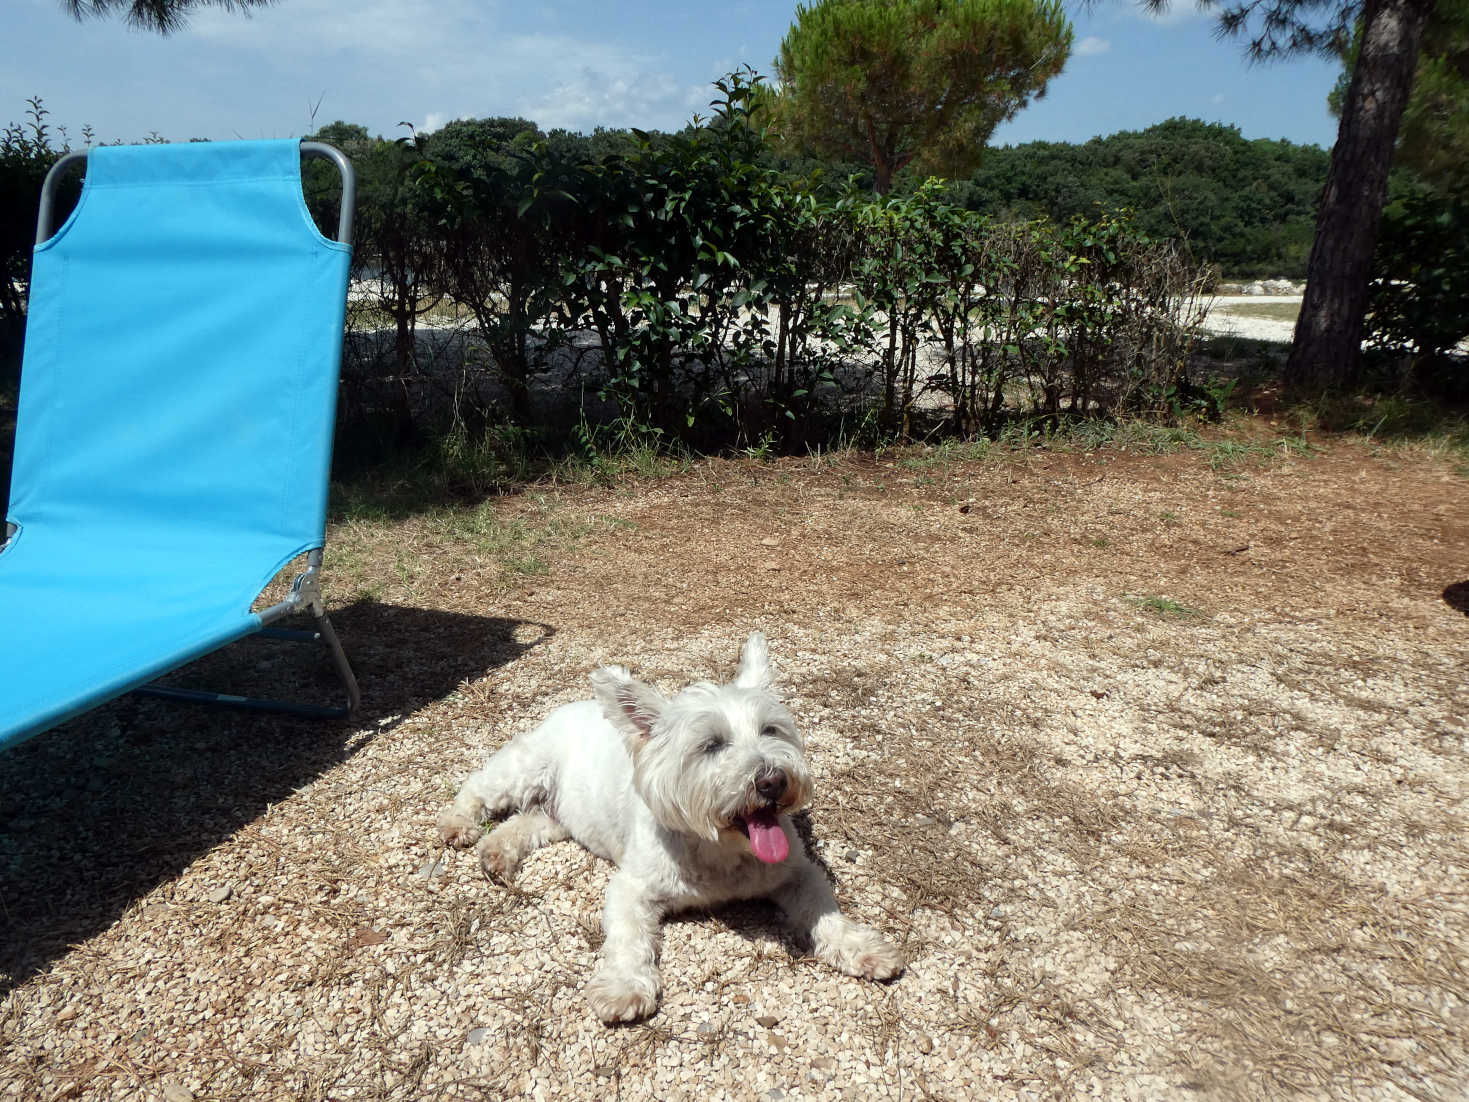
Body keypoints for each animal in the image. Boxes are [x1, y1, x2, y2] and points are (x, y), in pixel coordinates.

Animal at [431, 637, 904, 1028]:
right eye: (711, 745)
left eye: (771, 730)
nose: (772, 781)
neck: (719, 849)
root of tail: (572, 706)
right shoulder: (632, 887)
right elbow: (627, 938)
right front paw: (624, 988)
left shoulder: (796, 872)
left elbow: (823, 910)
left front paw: (862, 947)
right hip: (525, 768)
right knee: (478, 787)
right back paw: (459, 826)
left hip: (560, 815)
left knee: (526, 821)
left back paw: (496, 852)